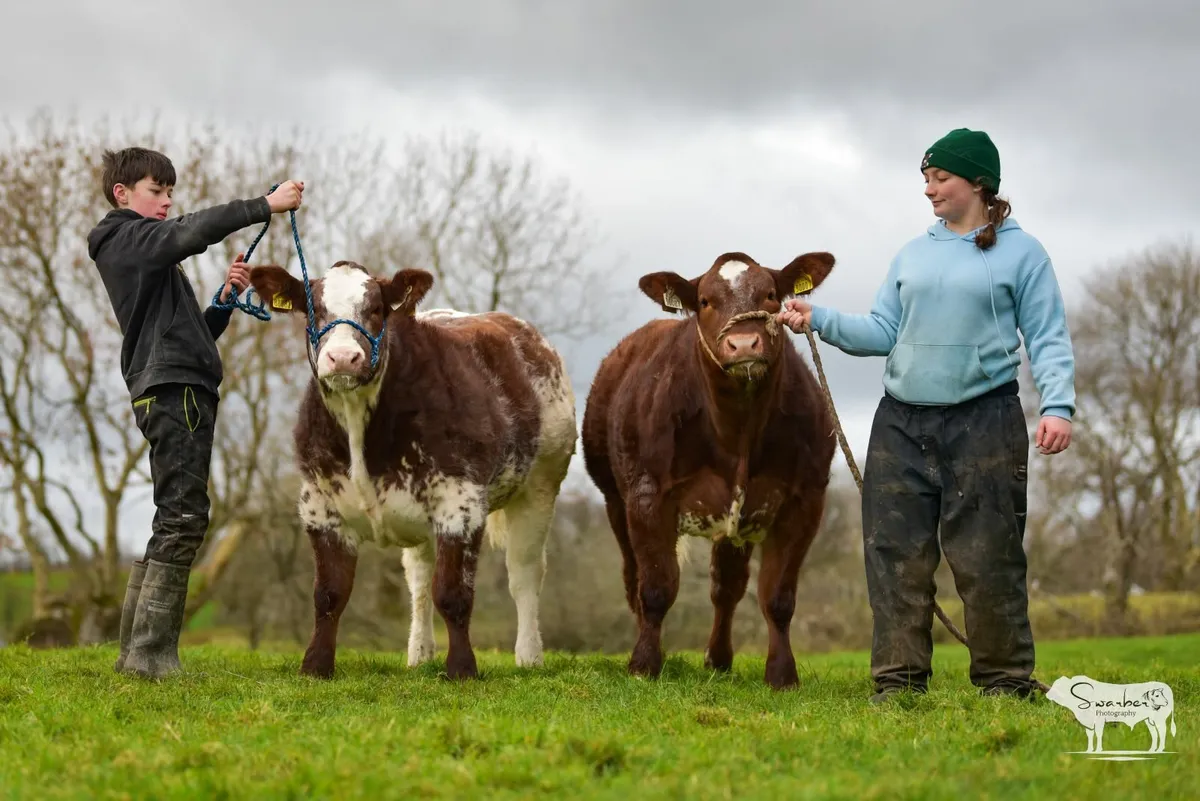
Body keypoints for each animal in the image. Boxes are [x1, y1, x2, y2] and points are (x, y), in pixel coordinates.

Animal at [248, 260, 577, 680]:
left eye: (376, 309)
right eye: (314, 309)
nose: (343, 357)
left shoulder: (461, 502)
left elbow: (453, 593)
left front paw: (462, 669)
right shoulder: (318, 505)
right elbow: (329, 592)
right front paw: (316, 665)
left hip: (541, 485)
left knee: (524, 573)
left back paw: (529, 656)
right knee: (419, 581)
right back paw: (420, 652)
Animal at [581, 250, 838, 689]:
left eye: (771, 294)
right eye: (704, 301)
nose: (744, 343)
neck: (738, 430)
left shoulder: (803, 500)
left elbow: (777, 596)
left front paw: (782, 674)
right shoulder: (647, 496)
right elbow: (656, 587)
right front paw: (644, 665)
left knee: (727, 586)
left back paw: (718, 658)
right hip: (614, 498)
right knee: (634, 579)